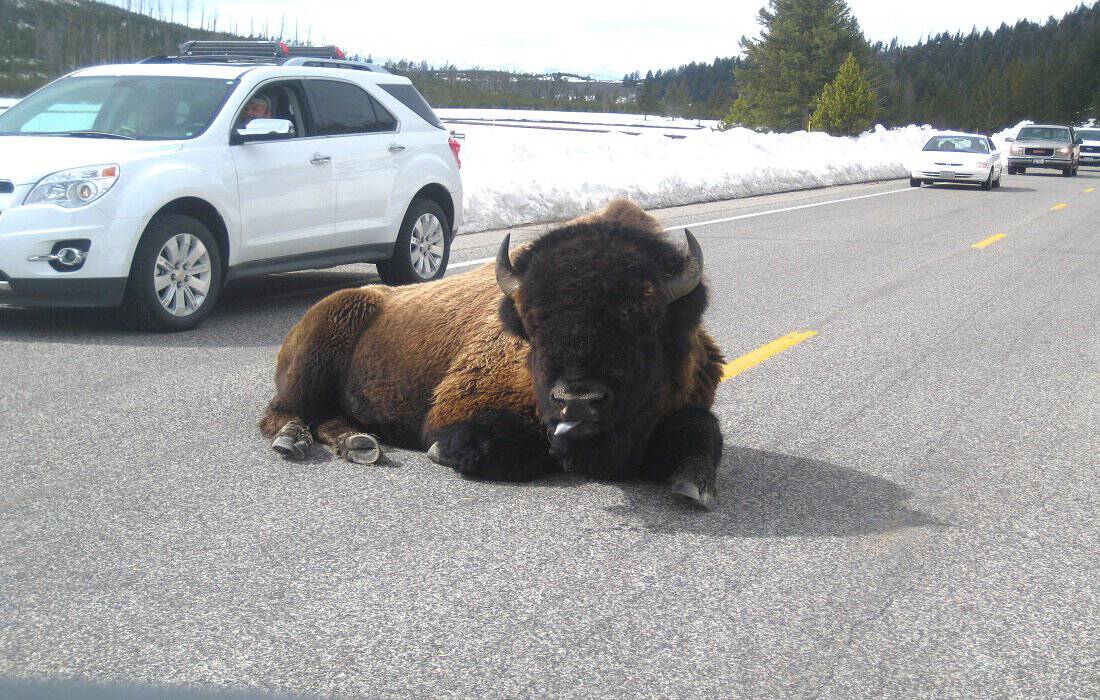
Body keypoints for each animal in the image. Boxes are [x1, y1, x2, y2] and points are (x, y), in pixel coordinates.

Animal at [259, 200, 726, 507]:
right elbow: (511, 447)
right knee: (284, 412)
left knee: (330, 418)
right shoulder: (458, 410)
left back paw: (360, 445)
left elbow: (703, 431)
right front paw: (443, 452)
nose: (577, 400)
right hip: (309, 370)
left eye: (643, 324)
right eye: (533, 328)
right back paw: (293, 440)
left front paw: (694, 486)